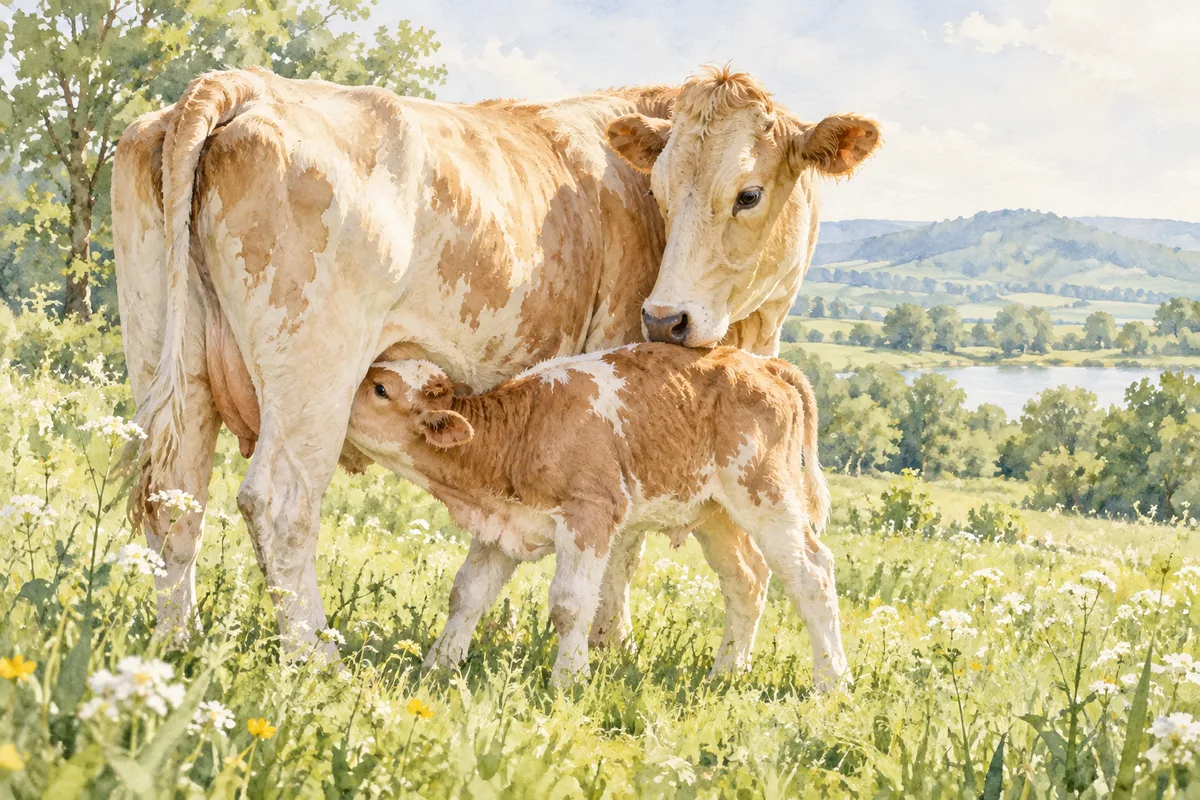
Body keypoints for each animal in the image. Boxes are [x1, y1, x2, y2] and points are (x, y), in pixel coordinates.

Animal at [347, 344, 843, 686]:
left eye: (380, 389)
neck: (524, 429)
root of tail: (761, 363)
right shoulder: (501, 526)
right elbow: (467, 594)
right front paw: (438, 664)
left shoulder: (591, 514)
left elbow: (569, 605)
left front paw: (569, 679)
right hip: (717, 511)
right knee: (747, 579)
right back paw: (726, 671)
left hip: (765, 494)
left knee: (812, 573)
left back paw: (831, 681)